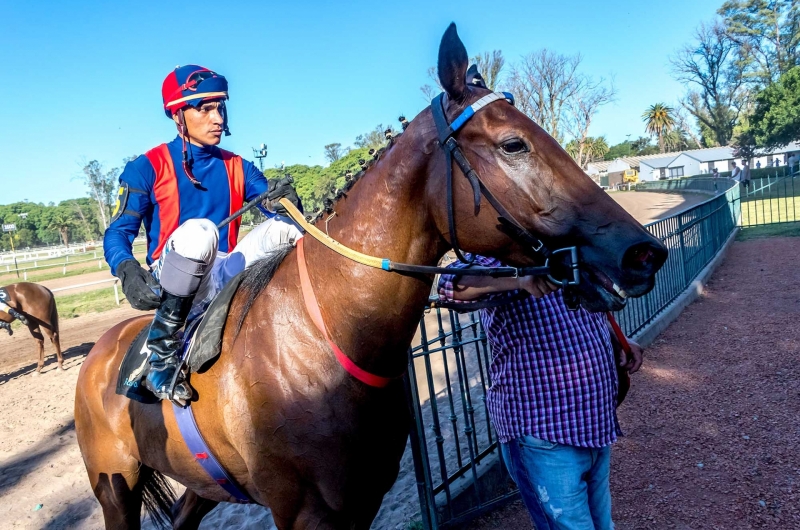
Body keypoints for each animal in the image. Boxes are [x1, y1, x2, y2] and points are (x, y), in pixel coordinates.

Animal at [75, 25, 664, 528]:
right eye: (513, 144)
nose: (643, 253)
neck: (322, 340)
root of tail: (101, 351)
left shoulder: (362, 498)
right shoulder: (302, 513)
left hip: (202, 485)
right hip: (115, 488)